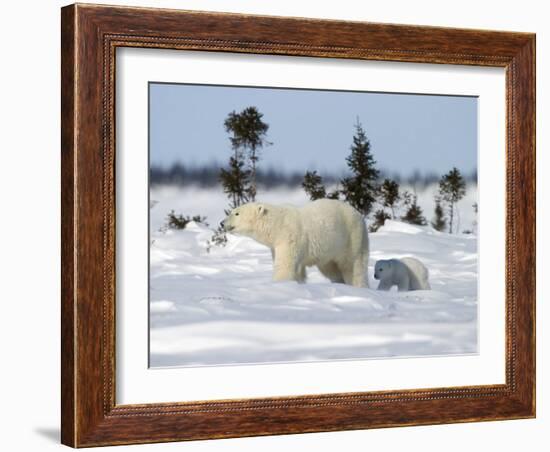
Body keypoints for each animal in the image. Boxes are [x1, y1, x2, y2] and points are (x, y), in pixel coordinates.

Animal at [221, 200, 370, 288]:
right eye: (232, 211)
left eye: (237, 213)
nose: (222, 223)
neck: (277, 225)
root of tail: (360, 215)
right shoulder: (276, 246)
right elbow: (298, 270)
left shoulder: (289, 238)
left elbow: (285, 266)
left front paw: (279, 284)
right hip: (329, 251)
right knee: (331, 269)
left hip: (352, 238)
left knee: (353, 265)